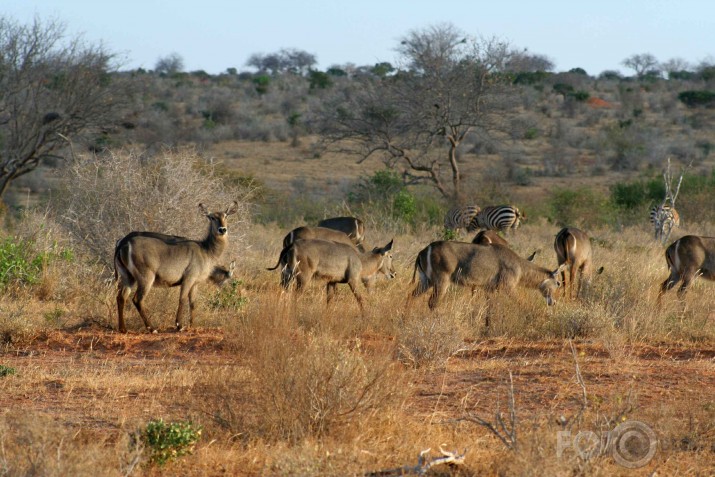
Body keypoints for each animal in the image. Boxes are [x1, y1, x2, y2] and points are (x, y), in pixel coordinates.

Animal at [113, 203, 239, 332]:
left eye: (226, 216)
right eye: (212, 217)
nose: (222, 229)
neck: (206, 250)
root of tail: (123, 243)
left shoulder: (195, 283)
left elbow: (193, 303)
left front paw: (192, 325)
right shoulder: (188, 278)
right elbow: (182, 299)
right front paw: (180, 325)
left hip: (127, 276)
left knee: (121, 297)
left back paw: (123, 328)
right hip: (146, 277)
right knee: (137, 299)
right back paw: (152, 328)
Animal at [272, 238, 400, 312]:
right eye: (390, 256)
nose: (394, 273)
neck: (361, 259)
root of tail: (292, 245)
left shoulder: (332, 282)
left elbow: (329, 301)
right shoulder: (353, 281)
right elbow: (360, 299)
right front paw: (365, 316)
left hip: (286, 276)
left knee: (281, 293)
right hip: (302, 278)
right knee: (296, 296)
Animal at [412, 242, 568, 308]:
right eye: (558, 283)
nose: (553, 302)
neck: (519, 266)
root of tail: (423, 251)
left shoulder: (489, 289)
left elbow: (489, 309)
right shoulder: (508, 287)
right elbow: (521, 302)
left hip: (426, 281)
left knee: (410, 297)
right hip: (441, 281)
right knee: (432, 302)